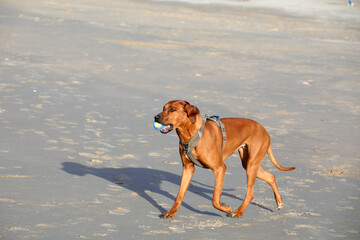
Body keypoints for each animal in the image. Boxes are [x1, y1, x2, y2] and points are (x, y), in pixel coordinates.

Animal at [153, 100, 294, 218]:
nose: (156, 117)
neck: (192, 134)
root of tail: (264, 129)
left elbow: (215, 199)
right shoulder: (188, 169)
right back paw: (279, 202)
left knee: (250, 193)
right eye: (163, 108)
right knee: (271, 177)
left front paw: (226, 209)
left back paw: (238, 212)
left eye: (172, 109)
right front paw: (171, 212)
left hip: (251, 165)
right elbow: (179, 195)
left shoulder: (220, 168)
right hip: (248, 163)